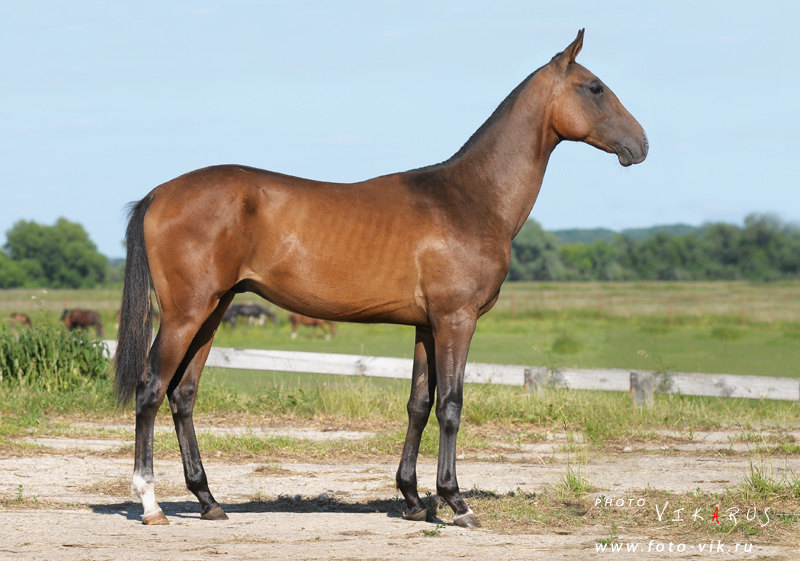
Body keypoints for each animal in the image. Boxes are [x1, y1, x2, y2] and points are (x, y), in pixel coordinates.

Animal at [115, 30, 648, 528]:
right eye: (595, 88)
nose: (641, 144)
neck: (469, 197)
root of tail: (159, 193)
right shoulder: (456, 320)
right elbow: (450, 404)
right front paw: (456, 502)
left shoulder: (427, 326)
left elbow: (418, 403)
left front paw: (413, 500)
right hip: (186, 314)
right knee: (151, 388)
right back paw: (151, 504)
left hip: (214, 309)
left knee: (183, 394)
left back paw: (208, 501)